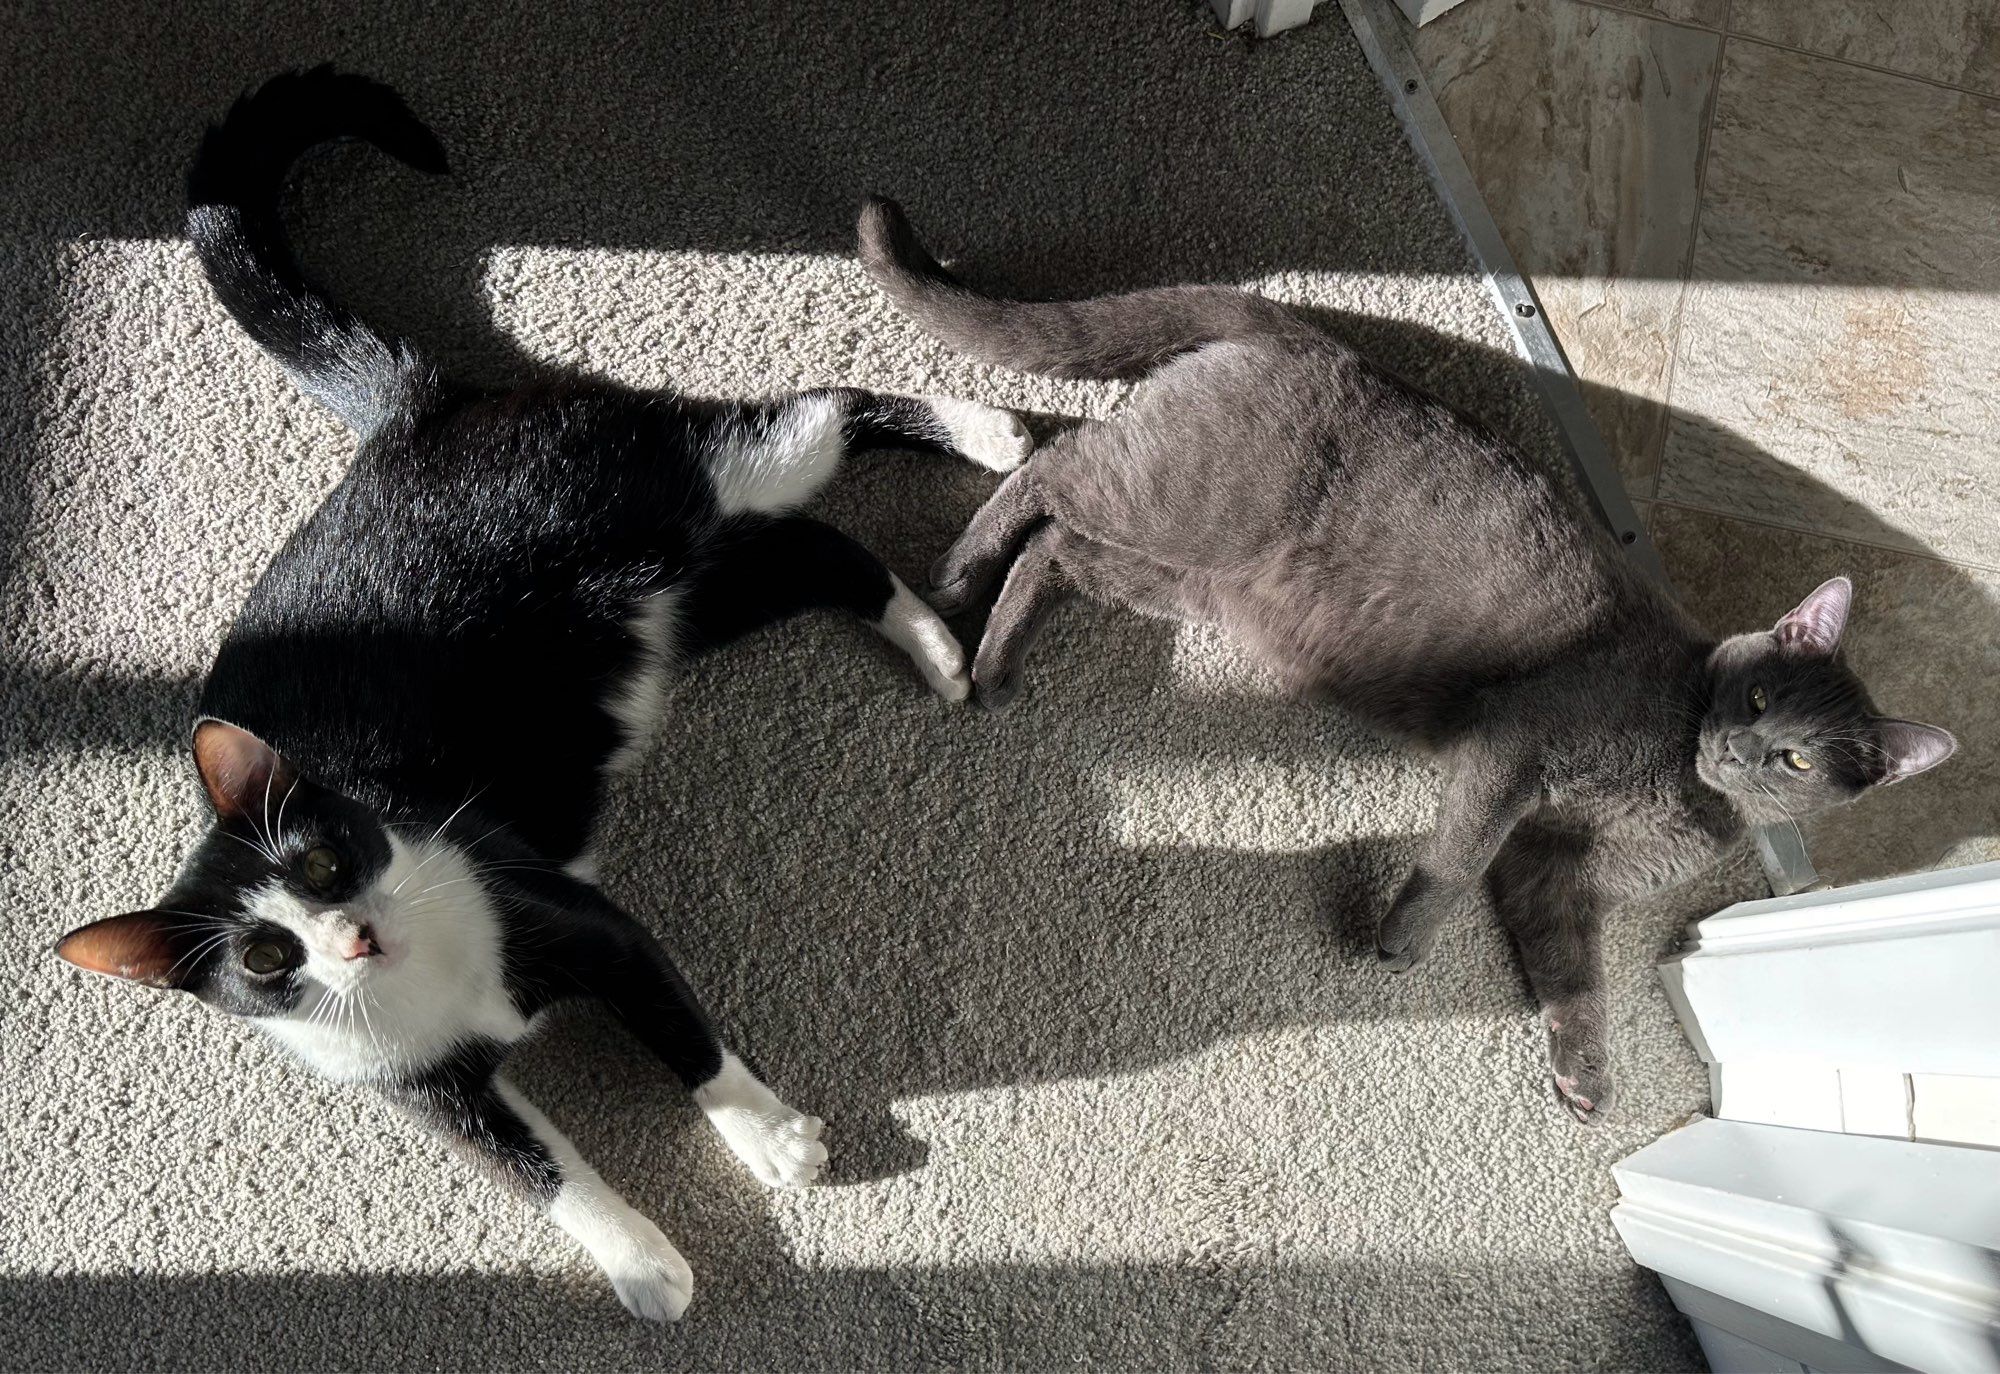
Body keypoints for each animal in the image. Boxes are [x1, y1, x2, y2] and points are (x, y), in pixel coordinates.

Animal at [48, 72, 1032, 1320]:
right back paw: (929, 640)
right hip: (663, 609)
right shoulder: (428, 1093)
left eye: (318, 861)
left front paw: (767, 1139)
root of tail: (414, 412)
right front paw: (644, 1263)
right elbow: (533, 1169)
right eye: (266, 962)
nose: (348, 936)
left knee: (816, 414)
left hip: (668, 487)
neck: (433, 976)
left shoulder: (580, 921)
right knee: (818, 553)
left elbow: (682, 1033)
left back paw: (984, 432)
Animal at [856, 196, 1952, 1128]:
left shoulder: (1559, 875)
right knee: (1049, 467)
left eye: (1799, 760)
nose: (1741, 747)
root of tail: (1308, 338)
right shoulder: (1515, 748)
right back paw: (955, 576)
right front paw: (1405, 938)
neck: (1674, 789)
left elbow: (1576, 970)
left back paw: (996, 663)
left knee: (1056, 548)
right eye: (1756, 694)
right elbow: (1458, 859)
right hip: (1177, 501)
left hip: (1189, 575)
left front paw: (1585, 1078)